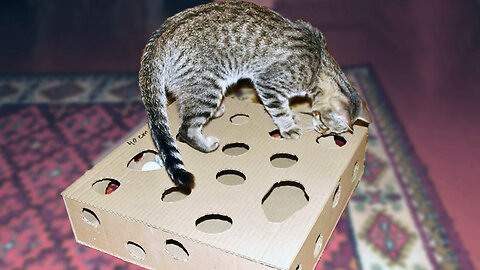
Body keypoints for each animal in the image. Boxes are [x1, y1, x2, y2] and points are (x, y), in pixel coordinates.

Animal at [139, 0, 372, 186]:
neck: (319, 63)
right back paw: (206, 144)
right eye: (325, 124)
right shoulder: (268, 84)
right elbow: (280, 111)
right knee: (185, 129)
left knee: (182, 109)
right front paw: (289, 127)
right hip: (207, 89)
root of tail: (159, 37)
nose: (321, 132)